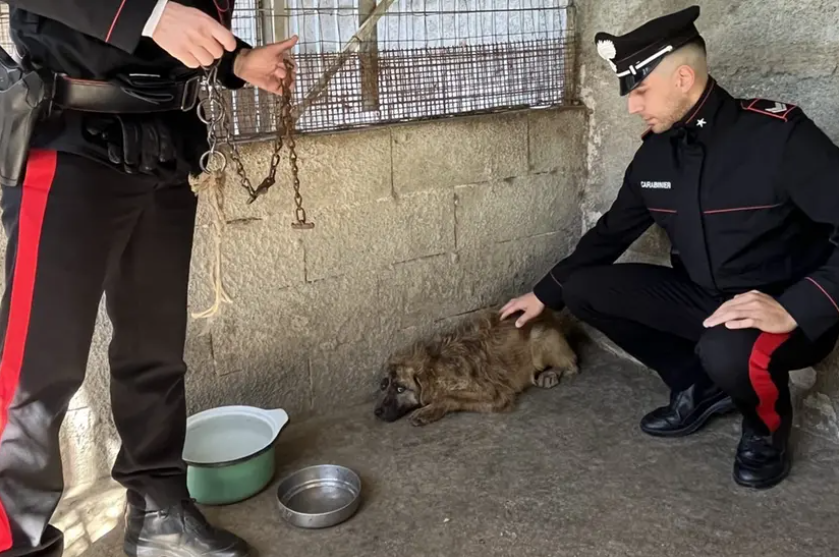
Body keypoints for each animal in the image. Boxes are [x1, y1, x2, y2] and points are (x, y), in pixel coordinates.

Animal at [374, 307, 579, 426]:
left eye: (401, 389)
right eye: (383, 385)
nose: (377, 412)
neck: (435, 365)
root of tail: (553, 317)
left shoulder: (494, 394)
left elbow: (450, 398)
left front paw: (427, 410)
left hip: (539, 335)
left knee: (572, 362)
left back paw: (550, 373)